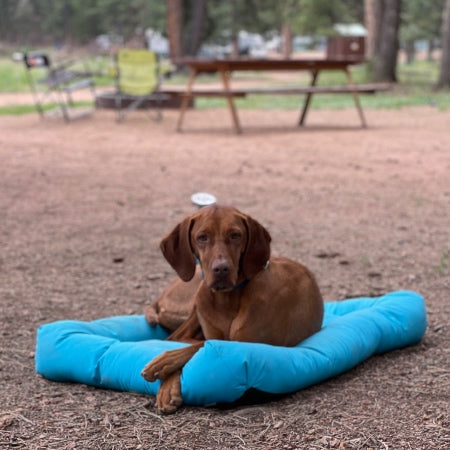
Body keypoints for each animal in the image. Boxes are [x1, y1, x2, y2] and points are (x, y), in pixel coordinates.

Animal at [142, 206, 322, 414]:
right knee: (176, 336)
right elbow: (200, 344)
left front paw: (164, 362)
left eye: (236, 235)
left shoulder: (250, 344)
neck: (227, 300)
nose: (221, 269)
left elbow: (199, 346)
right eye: (202, 237)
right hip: (197, 295)